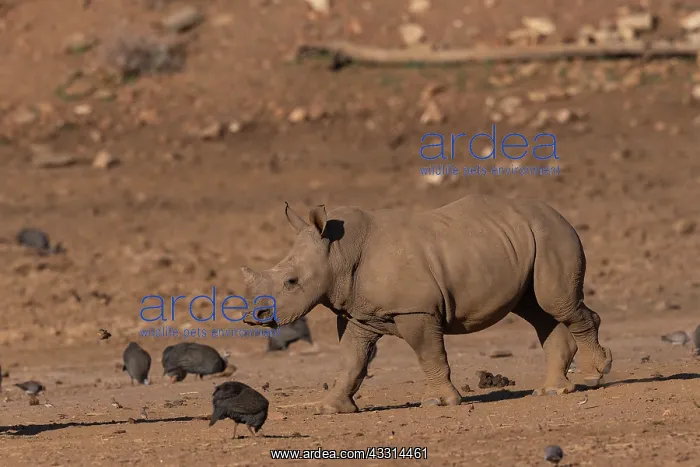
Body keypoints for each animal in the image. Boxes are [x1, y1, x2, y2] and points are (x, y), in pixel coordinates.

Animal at [241, 194, 613, 414]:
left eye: (291, 282)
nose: (254, 317)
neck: (339, 253)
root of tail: (560, 214)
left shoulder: (416, 310)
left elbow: (428, 353)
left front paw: (439, 401)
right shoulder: (358, 314)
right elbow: (351, 359)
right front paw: (331, 408)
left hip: (553, 236)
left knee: (557, 305)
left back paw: (596, 374)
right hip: (525, 240)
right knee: (538, 311)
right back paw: (552, 391)